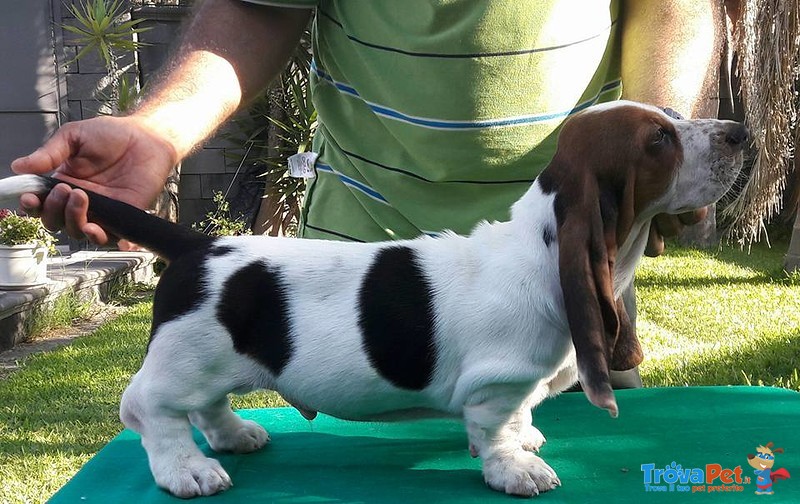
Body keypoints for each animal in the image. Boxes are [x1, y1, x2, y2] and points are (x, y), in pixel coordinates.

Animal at [0, 100, 748, 498]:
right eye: (659, 140)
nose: (741, 132)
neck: (541, 246)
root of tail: (196, 244)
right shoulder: (496, 384)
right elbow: (499, 427)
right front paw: (516, 467)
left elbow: (521, 417)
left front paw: (528, 438)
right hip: (184, 359)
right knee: (149, 408)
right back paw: (187, 469)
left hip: (214, 361)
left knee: (207, 405)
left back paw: (235, 435)